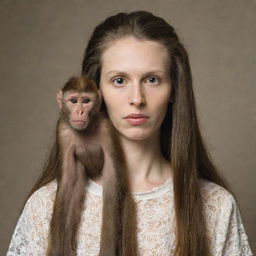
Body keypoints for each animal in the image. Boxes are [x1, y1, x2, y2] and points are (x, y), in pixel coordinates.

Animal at [46, 75, 138, 256]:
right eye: (74, 100)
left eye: (86, 101)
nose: (80, 111)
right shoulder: (62, 130)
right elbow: (67, 183)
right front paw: (60, 249)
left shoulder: (107, 129)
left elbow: (111, 184)